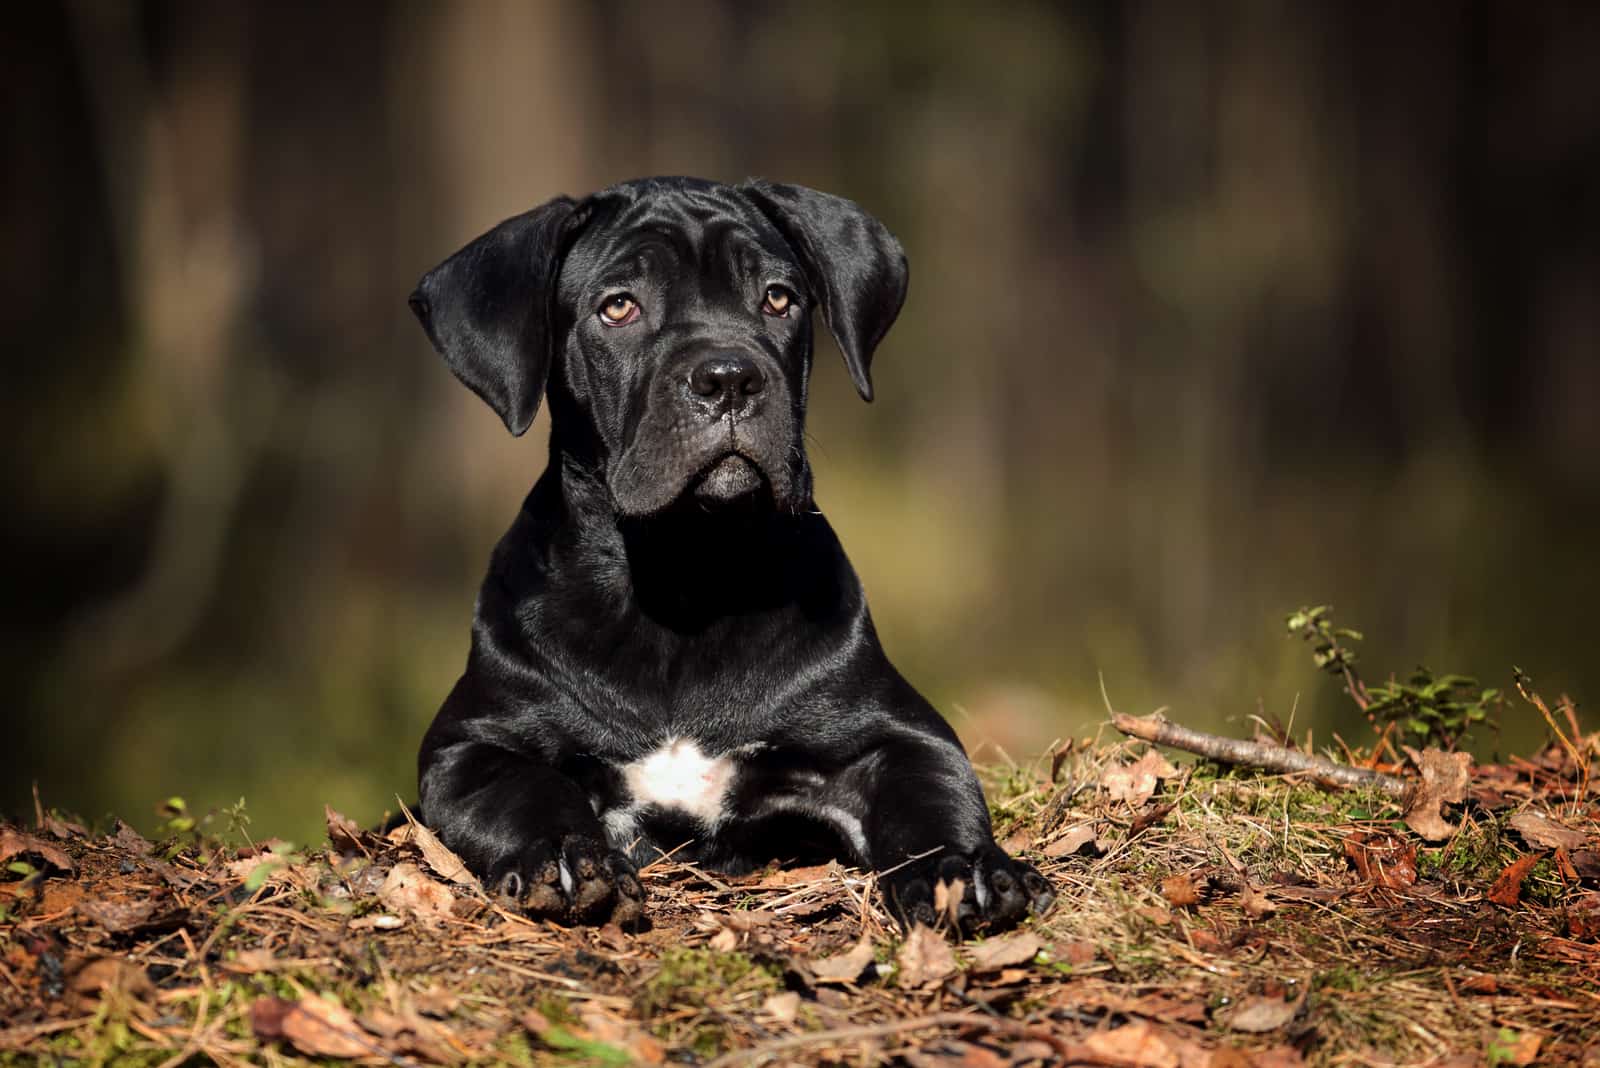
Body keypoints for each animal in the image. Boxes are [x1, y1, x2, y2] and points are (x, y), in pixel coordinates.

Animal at [409, 177, 1049, 933]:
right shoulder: (469, 745)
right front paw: (566, 856)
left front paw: (963, 865)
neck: (686, 577)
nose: (729, 378)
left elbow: (934, 797)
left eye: (778, 298)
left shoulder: (897, 735)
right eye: (617, 306)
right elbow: (526, 790)